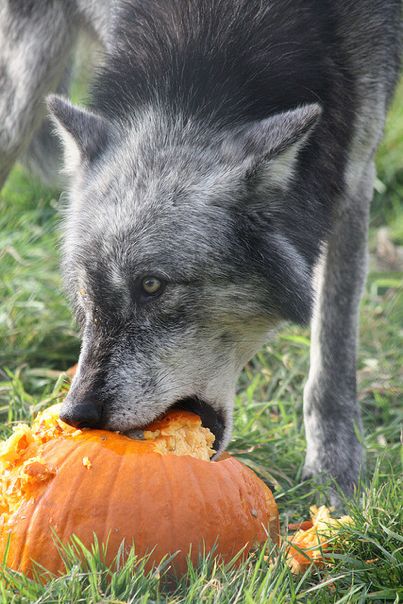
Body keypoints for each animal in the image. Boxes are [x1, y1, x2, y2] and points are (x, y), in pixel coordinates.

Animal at [1, 0, 402, 502]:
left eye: (152, 286)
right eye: (85, 293)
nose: (77, 415)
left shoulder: (353, 173)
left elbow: (334, 341)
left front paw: (335, 470)